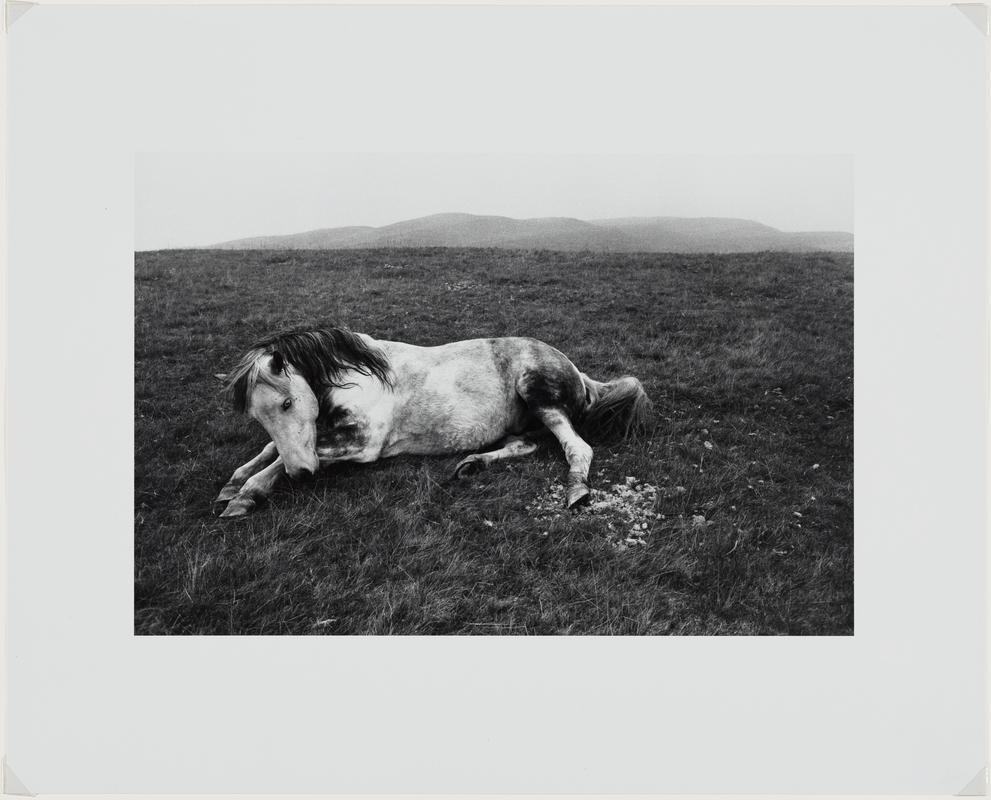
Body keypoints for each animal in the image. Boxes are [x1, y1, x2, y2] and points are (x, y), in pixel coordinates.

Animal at [214, 326, 652, 520]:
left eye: (287, 402)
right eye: (258, 416)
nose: (302, 474)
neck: (362, 376)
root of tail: (578, 372)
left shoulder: (363, 444)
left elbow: (291, 456)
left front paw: (246, 495)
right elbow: (273, 448)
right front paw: (234, 482)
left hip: (541, 399)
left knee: (576, 446)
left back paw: (577, 491)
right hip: (524, 423)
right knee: (524, 444)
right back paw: (471, 464)